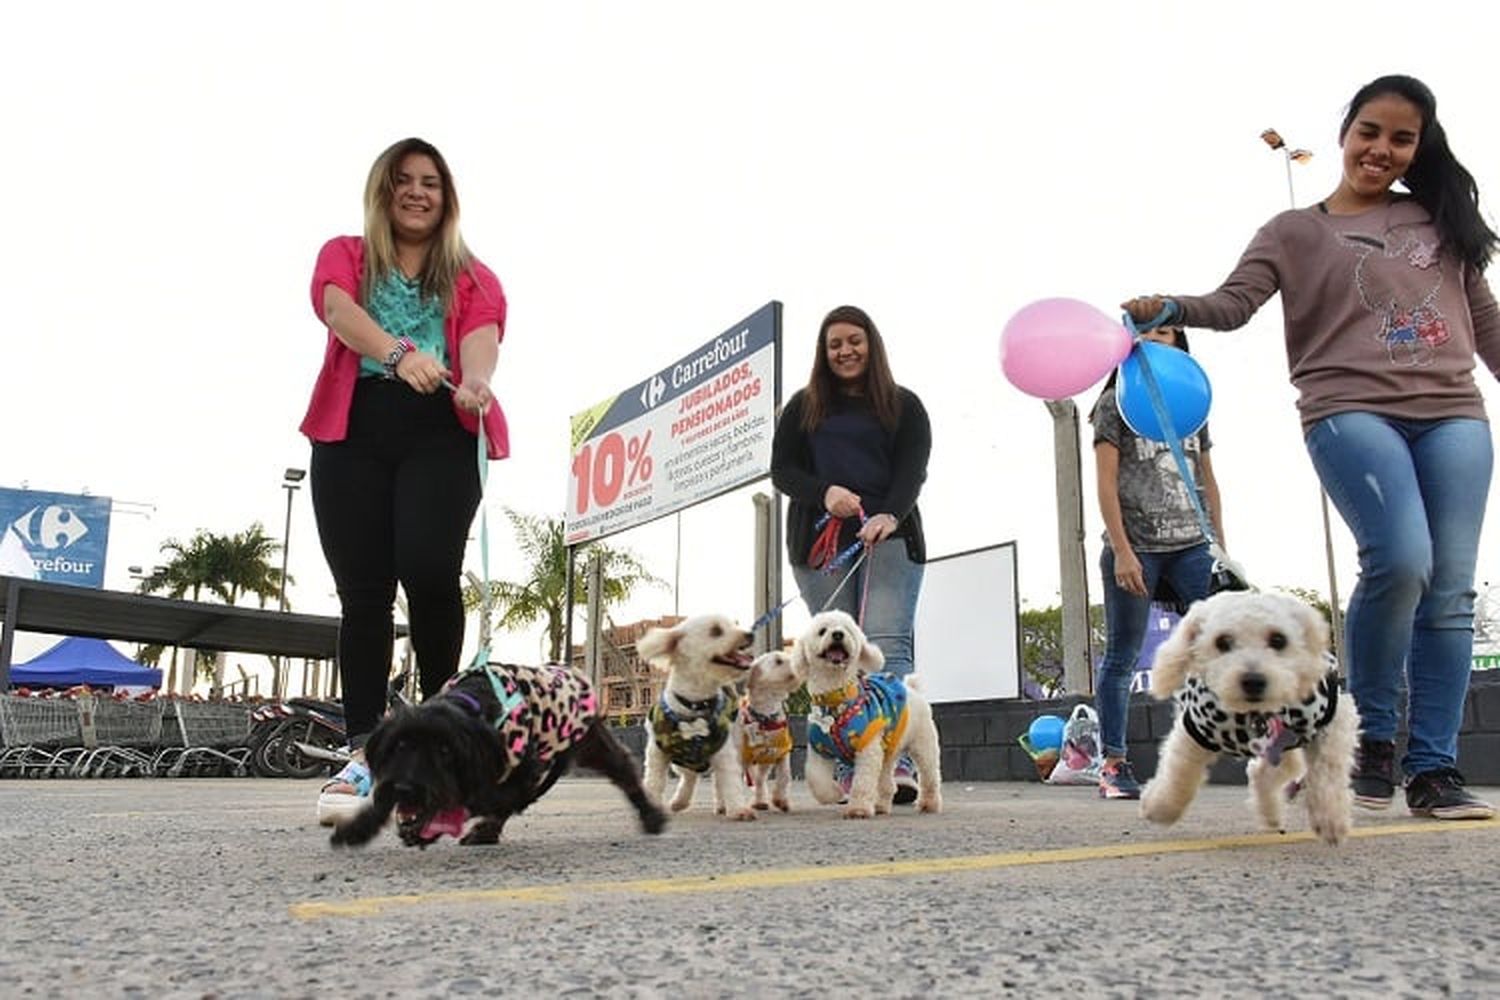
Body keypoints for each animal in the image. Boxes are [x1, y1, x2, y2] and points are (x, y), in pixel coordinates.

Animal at [633, 617, 756, 821]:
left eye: (733, 624)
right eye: (716, 631)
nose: (750, 634)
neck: (695, 705)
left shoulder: (723, 751)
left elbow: (730, 781)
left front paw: (739, 809)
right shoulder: (657, 753)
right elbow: (654, 782)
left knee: (716, 780)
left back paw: (720, 805)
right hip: (680, 760)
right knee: (689, 777)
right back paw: (680, 801)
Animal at [732, 650, 804, 815]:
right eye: (778, 661)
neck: (765, 717)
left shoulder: (781, 752)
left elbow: (785, 775)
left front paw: (781, 800)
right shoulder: (740, 757)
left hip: (765, 761)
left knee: (759, 780)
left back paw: (760, 801)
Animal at [792, 611, 942, 821]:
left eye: (847, 630)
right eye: (822, 631)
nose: (838, 634)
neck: (836, 700)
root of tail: (912, 689)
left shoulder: (867, 747)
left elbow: (863, 782)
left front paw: (859, 809)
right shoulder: (820, 750)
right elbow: (816, 779)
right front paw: (835, 794)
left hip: (923, 744)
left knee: (930, 776)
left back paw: (929, 804)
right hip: (887, 752)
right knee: (887, 783)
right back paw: (880, 806)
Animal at [1134, 590, 1362, 851]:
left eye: (1278, 640)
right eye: (1222, 642)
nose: (1253, 680)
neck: (1256, 714)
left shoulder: (1335, 719)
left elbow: (1328, 771)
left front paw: (1331, 819)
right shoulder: (1194, 732)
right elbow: (1178, 774)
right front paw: (1160, 807)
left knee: (1266, 772)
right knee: (1262, 772)